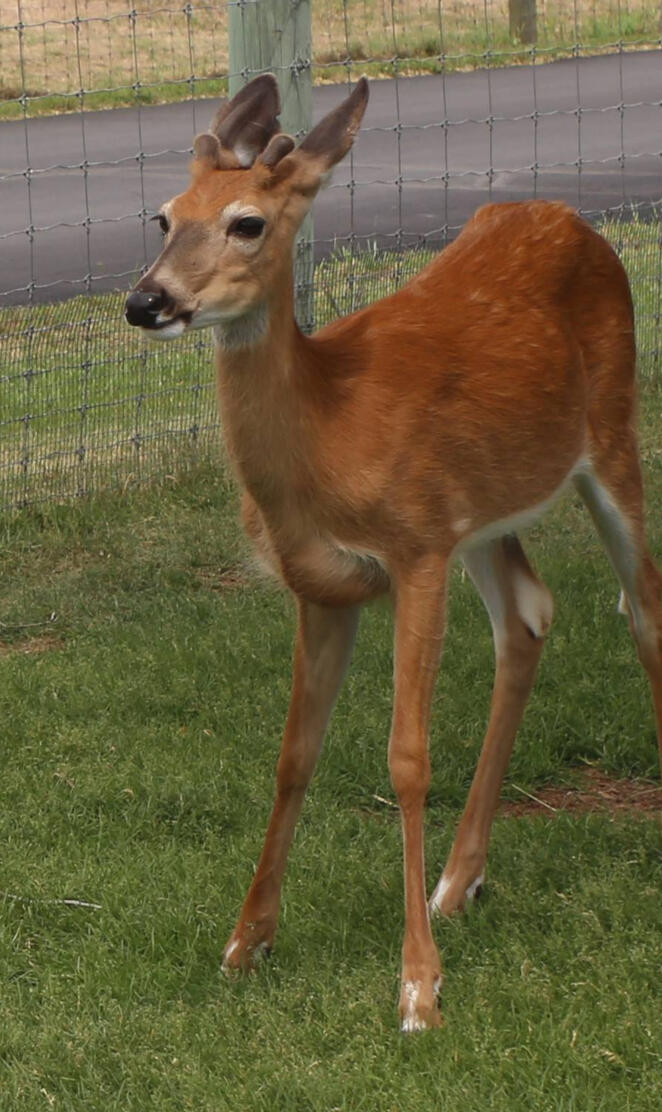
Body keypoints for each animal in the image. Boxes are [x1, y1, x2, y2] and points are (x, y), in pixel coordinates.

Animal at [124, 74, 662, 1033]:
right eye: (164, 217)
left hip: (610, 434)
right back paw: (459, 879)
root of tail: (571, 218)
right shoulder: (325, 586)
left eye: (246, 223)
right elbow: (293, 754)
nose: (146, 302)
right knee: (530, 615)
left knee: (643, 607)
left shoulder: (414, 549)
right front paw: (246, 942)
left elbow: (407, 758)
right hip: (479, 513)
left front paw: (418, 987)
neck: (327, 434)